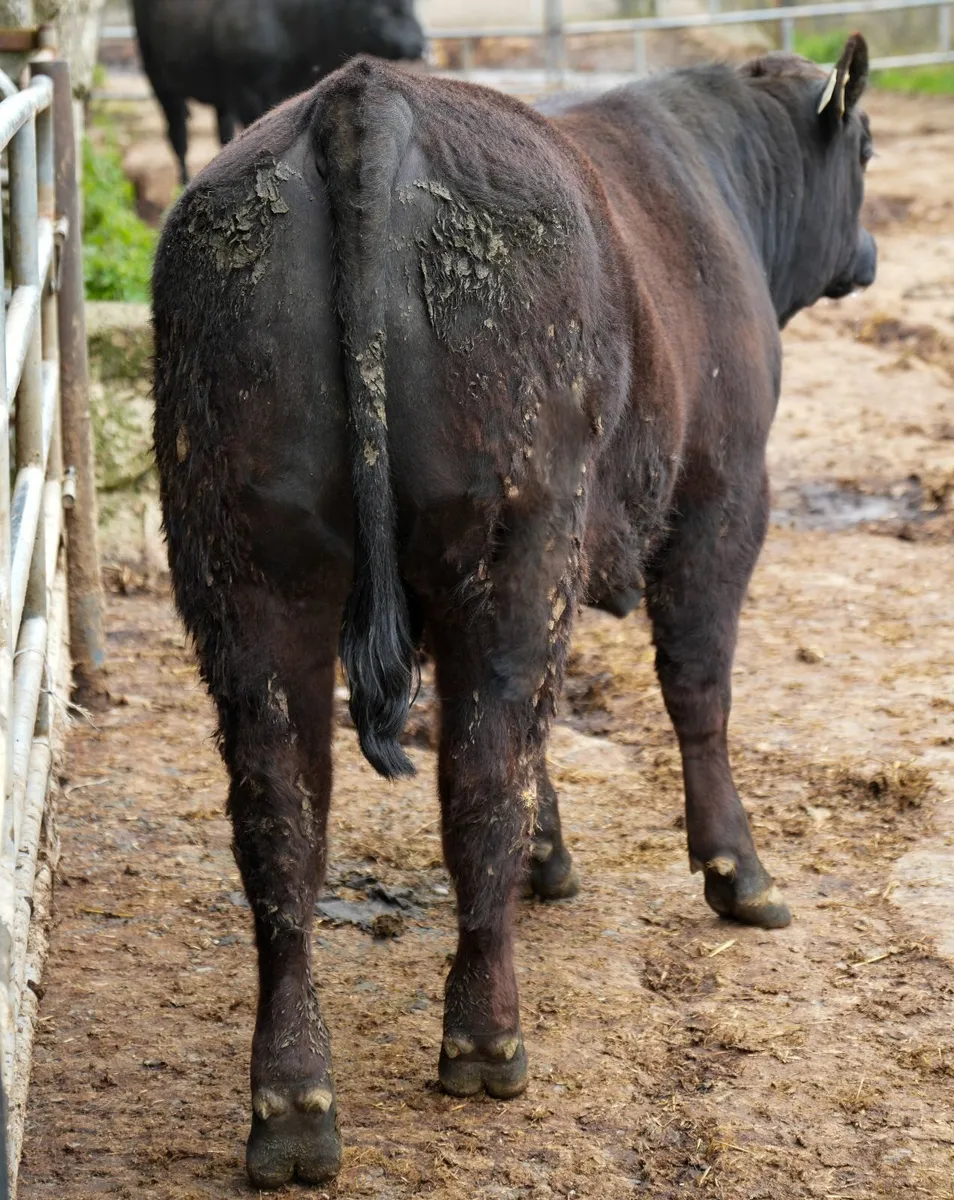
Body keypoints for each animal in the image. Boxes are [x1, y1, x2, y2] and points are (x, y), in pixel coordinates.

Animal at [152, 36, 876, 1187]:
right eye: (867, 146)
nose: (871, 252)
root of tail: (362, 98)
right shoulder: (725, 496)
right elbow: (697, 689)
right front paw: (740, 872)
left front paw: (552, 856)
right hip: (517, 539)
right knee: (481, 765)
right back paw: (486, 1038)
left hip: (244, 564)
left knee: (284, 812)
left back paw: (293, 1102)